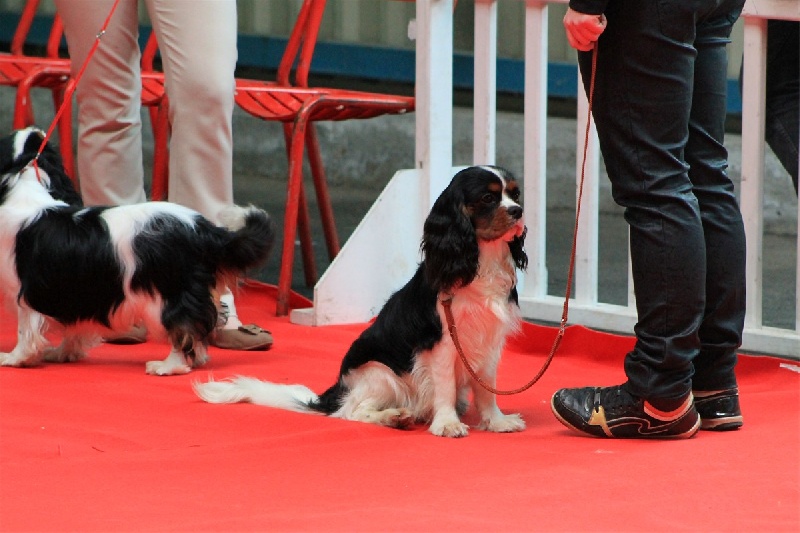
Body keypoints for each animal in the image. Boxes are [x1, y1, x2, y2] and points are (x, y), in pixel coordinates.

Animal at [0, 127, 276, 374]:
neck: (24, 182)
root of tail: (202, 228)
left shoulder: (26, 291)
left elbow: (26, 330)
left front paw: (15, 358)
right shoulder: (80, 289)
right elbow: (76, 326)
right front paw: (63, 353)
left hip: (167, 295)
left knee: (184, 328)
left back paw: (169, 366)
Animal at [195, 166, 528, 436]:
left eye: (515, 194)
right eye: (488, 198)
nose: (519, 211)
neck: (482, 261)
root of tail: (331, 394)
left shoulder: (488, 341)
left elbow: (487, 389)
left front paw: (496, 422)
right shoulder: (444, 340)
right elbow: (444, 384)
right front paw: (447, 424)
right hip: (380, 373)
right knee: (351, 411)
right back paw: (394, 417)